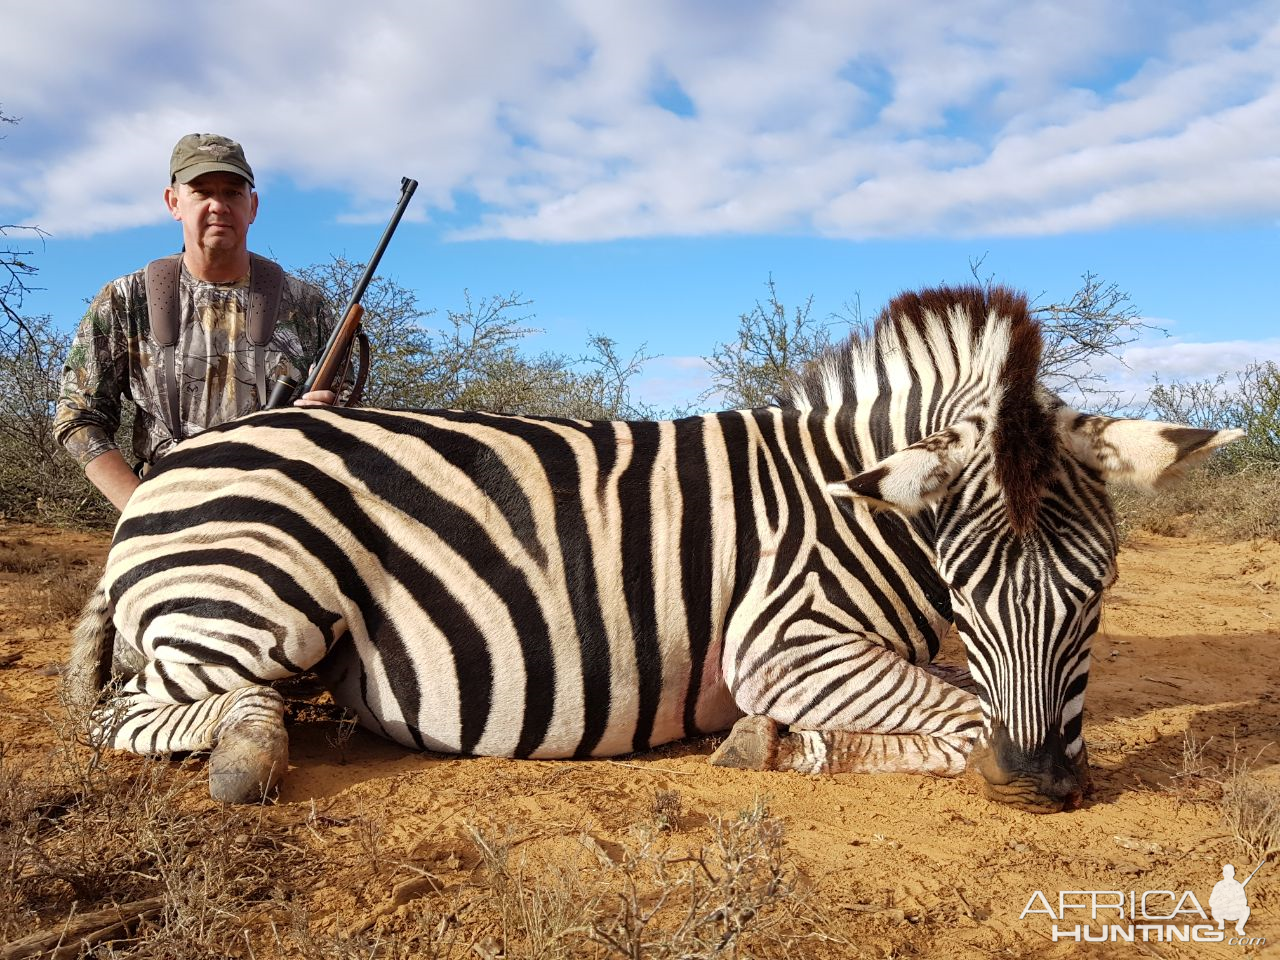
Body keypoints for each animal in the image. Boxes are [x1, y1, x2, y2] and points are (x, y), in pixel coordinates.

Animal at [62, 285, 1239, 814]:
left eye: (1100, 593)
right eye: (966, 585)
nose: (1040, 784)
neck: (849, 502)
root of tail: (174, 464)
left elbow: (955, 699)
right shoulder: (781, 639)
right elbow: (951, 715)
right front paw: (777, 744)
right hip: (260, 598)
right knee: (135, 714)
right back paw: (248, 749)